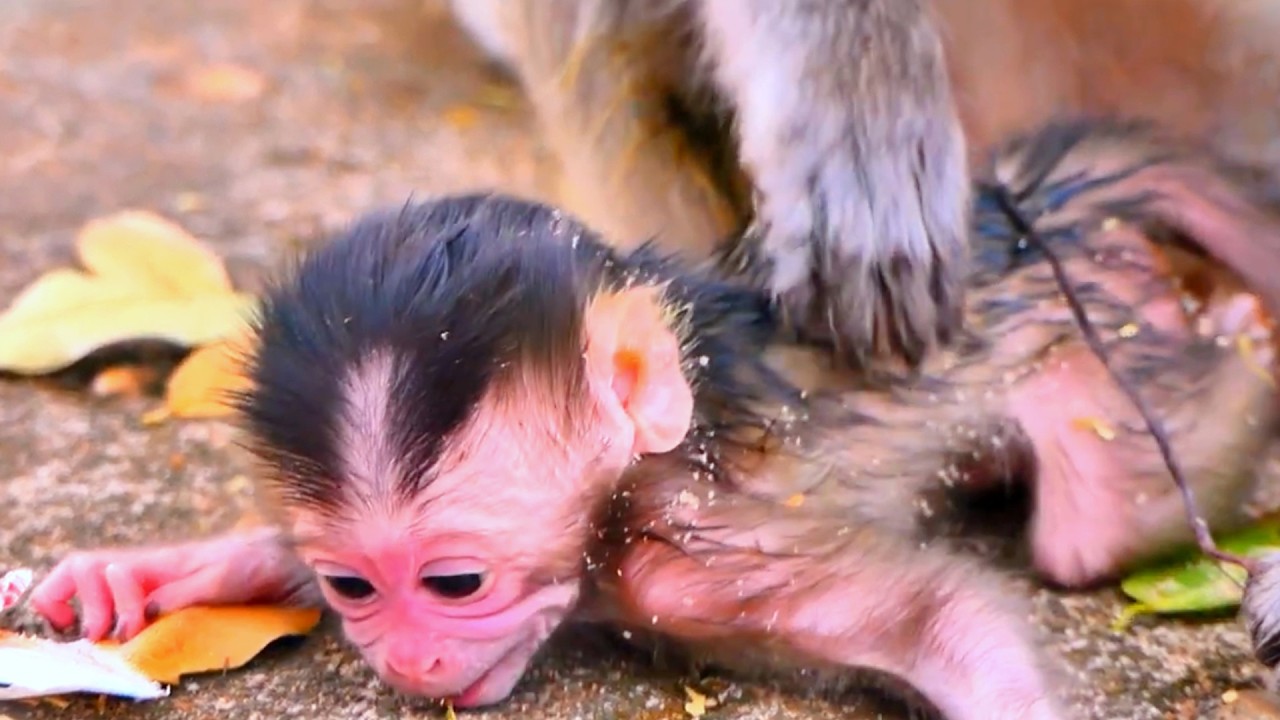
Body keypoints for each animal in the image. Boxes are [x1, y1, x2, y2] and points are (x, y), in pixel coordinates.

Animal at [24, 118, 1280, 718]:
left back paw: (1241, 332)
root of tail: (1022, 210)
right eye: (352, 588)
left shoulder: (695, 555)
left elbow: (943, 622)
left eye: (453, 585)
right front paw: (142, 577)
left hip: (1102, 333)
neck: (614, 509)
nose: (410, 661)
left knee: (1094, 531)